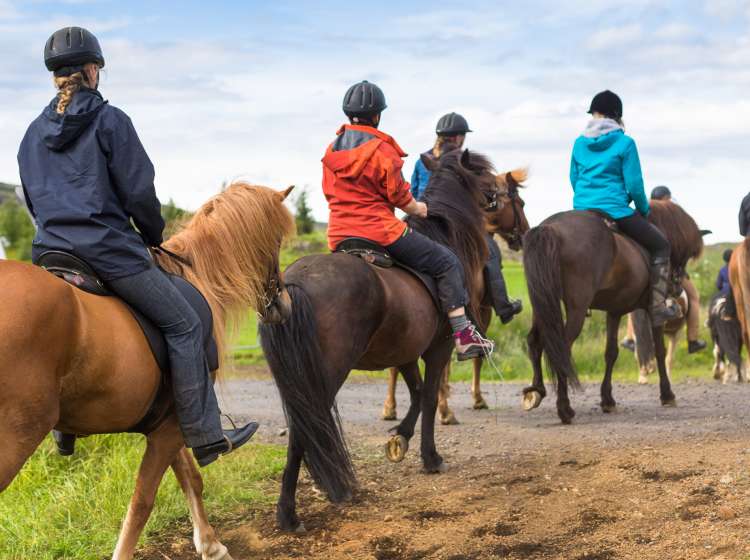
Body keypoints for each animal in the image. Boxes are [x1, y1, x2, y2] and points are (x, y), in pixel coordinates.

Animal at [1, 182, 298, 556]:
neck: (195, 276)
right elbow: (143, 501)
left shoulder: (168, 420)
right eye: (276, 241)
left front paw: (210, 544)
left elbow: (190, 478)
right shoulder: (174, 423)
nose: (284, 305)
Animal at [262, 147, 502, 532]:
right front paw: (430, 457)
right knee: (304, 428)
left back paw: (290, 509)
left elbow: (417, 394)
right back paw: (290, 512)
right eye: (482, 174)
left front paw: (400, 438)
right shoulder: (437, 348)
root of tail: (294, 285)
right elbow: (430, 397)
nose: (500, 192)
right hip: (324, 376)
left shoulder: (403, 352)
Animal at [382, 167, 536, 424]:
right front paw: (473, 400)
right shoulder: (481, 310)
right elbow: (476, 356)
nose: (524, 235)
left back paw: (389, 408)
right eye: (521, 203)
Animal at [524, 201, 704, 424]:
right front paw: (667, 394)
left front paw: (607, 399)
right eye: (685, 254)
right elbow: (659, 351)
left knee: (535, 341)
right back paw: (564, 409)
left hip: (542, 302)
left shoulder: (615, 311)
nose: (678, 289)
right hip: (576, 308)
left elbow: (611, 353)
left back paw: (536, 391)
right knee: (561, 348)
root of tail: (550, 228)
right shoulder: (653, 312)